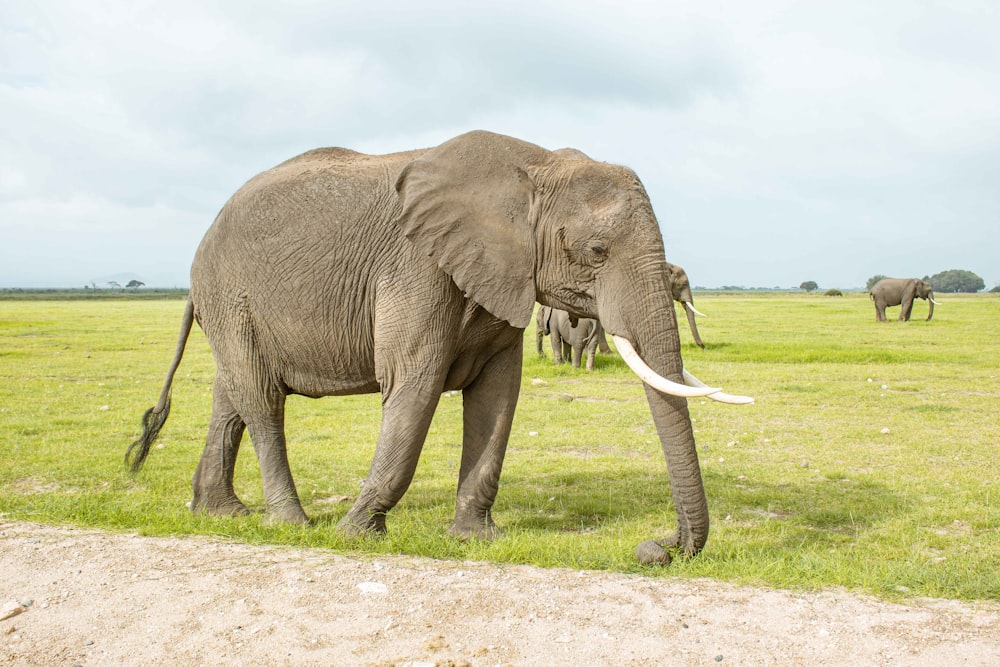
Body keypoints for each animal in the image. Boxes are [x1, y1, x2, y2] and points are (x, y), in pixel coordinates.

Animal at [127, 129, 752, 564]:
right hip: (231, 292)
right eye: (596, 252)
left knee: (230, 393)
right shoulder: (417, 267)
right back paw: (291, 524)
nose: (658, 547)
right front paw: (356, 533)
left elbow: (498, 397)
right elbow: (414, 384)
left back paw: (220, 512)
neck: (536, 165)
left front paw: (477, 538)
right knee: (260, 397)